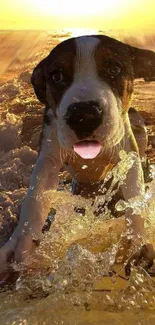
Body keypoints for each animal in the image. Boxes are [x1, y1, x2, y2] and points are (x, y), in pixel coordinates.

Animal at [0, 35, 155, 278]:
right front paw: (19, 243)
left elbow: (134, 192)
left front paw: (137, 240)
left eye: (114, 69)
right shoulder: (49, 154)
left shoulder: (127, 152)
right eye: (57, 76)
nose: (84, 114)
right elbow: (35, 197)